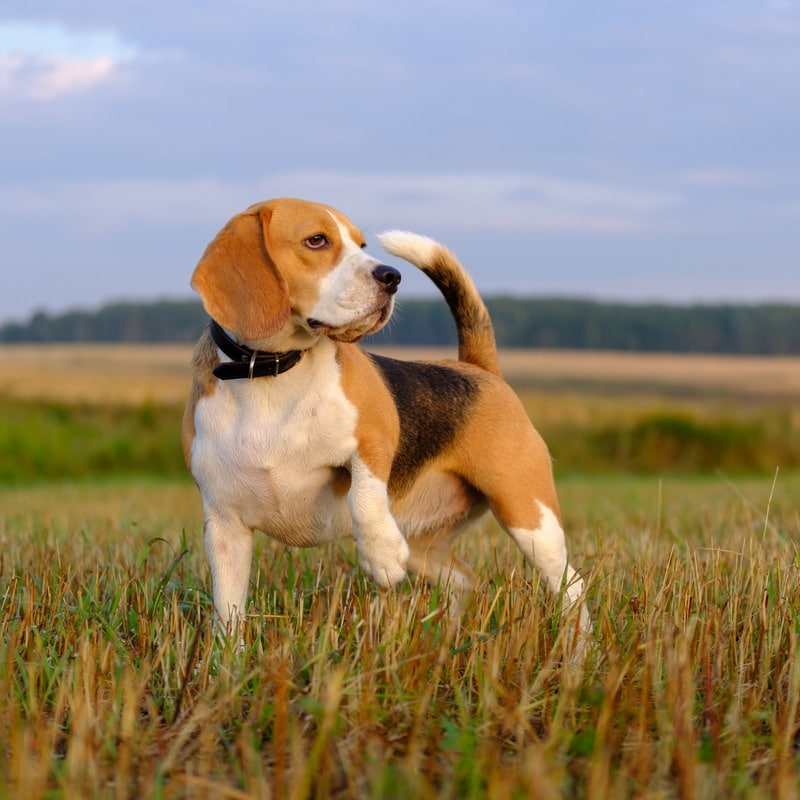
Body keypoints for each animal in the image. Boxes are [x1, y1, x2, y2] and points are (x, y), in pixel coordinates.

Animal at [184, 198, 592, 644]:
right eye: (316, 240)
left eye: (361, 244)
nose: (391, 277)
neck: (271, 375)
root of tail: (477, 368)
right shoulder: (224, 526)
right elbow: (228, 611)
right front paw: (230, 658)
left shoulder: (375, 436)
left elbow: (364, 491)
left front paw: (379, 554)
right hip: (424, 545)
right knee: (464, 580)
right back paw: (447, 638)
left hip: (528, 516)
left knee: (571, 584)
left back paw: (579, 649)